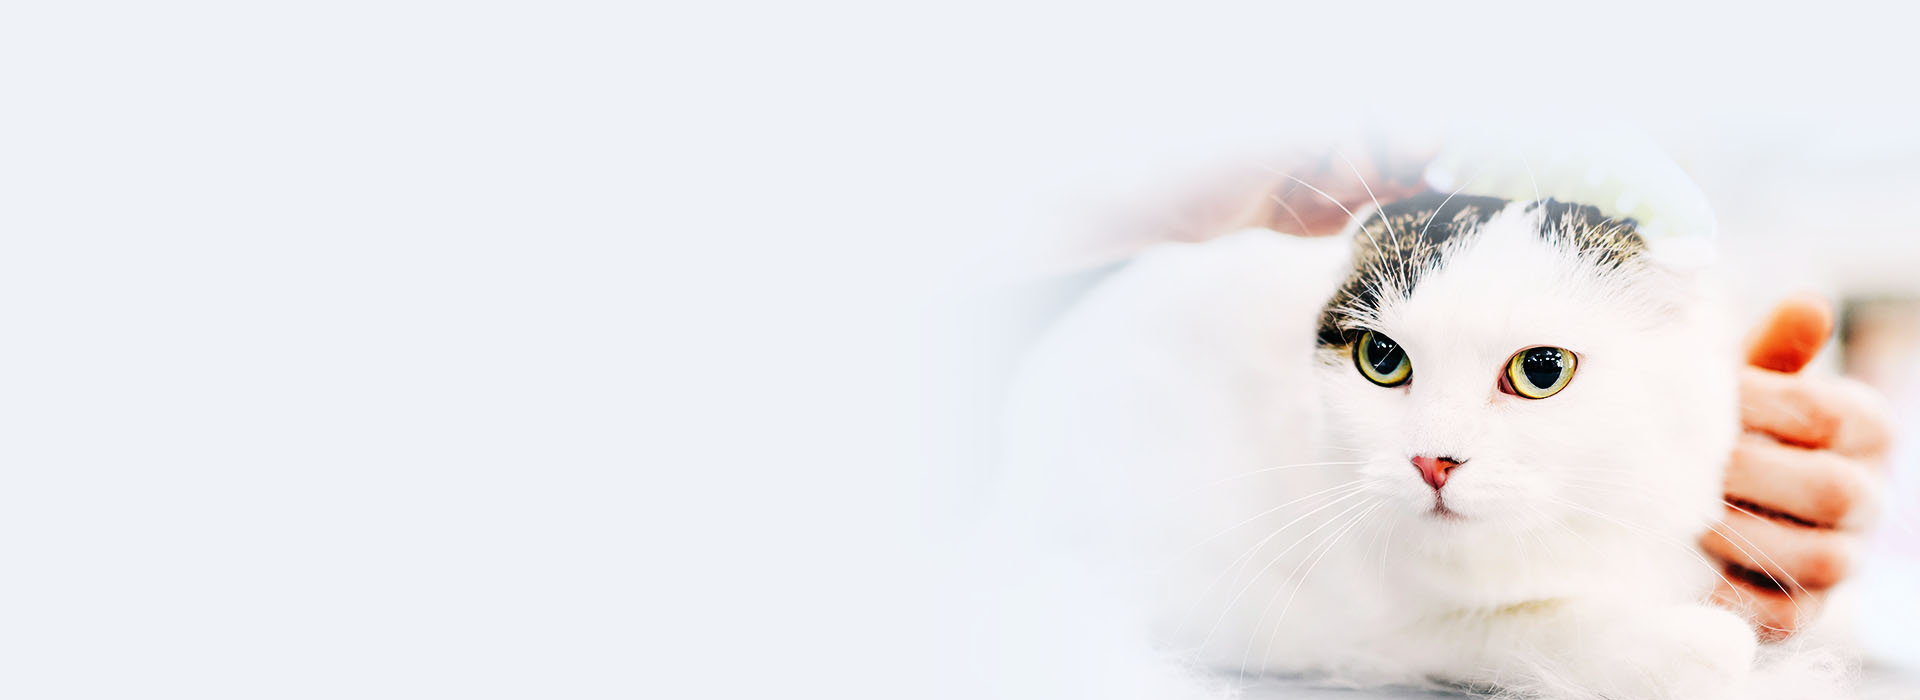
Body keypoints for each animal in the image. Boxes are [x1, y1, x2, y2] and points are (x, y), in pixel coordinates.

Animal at [998, 191, 1804, 698]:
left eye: (1542, 370)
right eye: (1381, 359)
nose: (1433, 461)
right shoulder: (1287, 614)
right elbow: (1511, 627)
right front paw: (1691, 643)